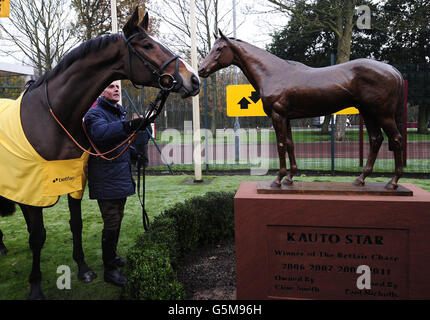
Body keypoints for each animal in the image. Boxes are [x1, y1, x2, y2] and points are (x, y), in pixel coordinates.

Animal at [0, 10, 199, 300]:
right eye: (147, 45)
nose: (193, 79)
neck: (53, 116)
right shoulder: (31, 190)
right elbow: (38, 236)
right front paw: (35, 286)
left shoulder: (72, 182)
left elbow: (76, 224)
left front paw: (83, 268)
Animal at [200, 31, 404, 189]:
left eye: (219, 49)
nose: (201, 69)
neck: (273, 73)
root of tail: (393, 70)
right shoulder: (287, 118)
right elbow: (290, 144)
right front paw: (290, 178)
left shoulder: (278, 116)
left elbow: (281, 145)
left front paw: (278, 179)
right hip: (368, 113)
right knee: (376, 140)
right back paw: (361, 179)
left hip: (383, 114)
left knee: (396, 139)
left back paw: (393, 182)